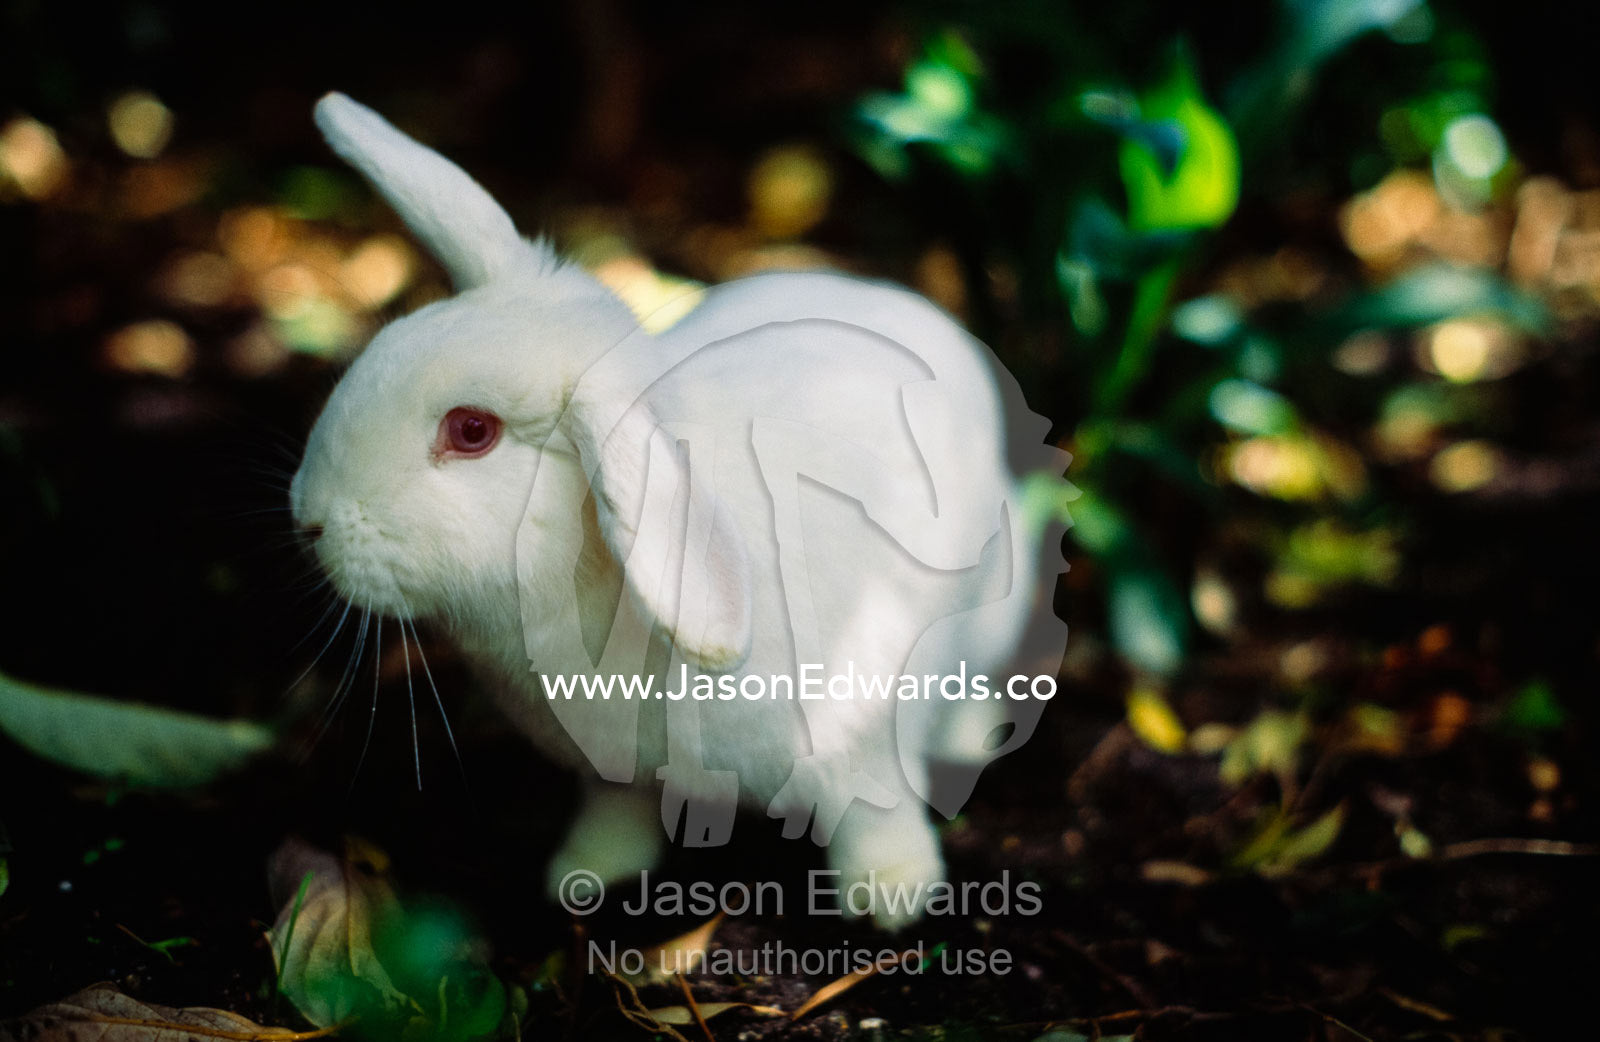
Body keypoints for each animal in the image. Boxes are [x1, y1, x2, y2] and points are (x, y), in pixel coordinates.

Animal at [290, 93, 1067, 930]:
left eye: (472, 432)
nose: (308, 520)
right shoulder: (615, 770)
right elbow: (618, 814)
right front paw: (584, 875)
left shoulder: (863, 736)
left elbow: (877, 814)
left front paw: (888, 897)